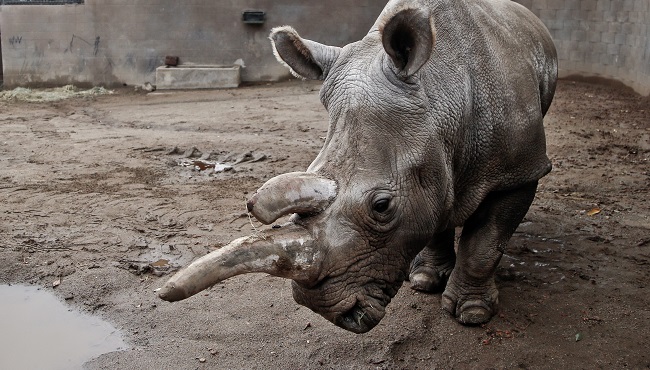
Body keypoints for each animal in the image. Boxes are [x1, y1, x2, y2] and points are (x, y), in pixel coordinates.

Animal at [159, 0, 556, 334]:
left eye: (381, 206)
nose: (331, 313)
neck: (440, 93)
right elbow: (437, 208)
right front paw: (425, 281)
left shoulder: (521, 171)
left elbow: (484, 244)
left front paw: (473, 314)